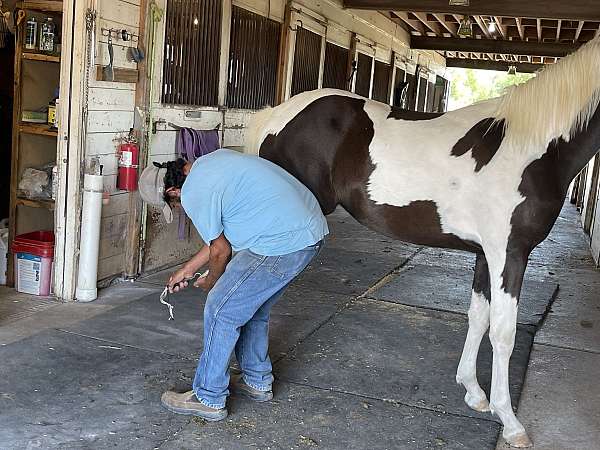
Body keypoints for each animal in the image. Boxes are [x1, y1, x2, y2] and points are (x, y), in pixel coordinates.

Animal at [244, 36, 600, 446]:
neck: (536, 147)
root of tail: (277, 114)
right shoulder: (509, 254)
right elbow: (503, 332)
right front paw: (510, 422)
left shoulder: (484, 256)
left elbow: (478, 317)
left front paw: (473, 392)